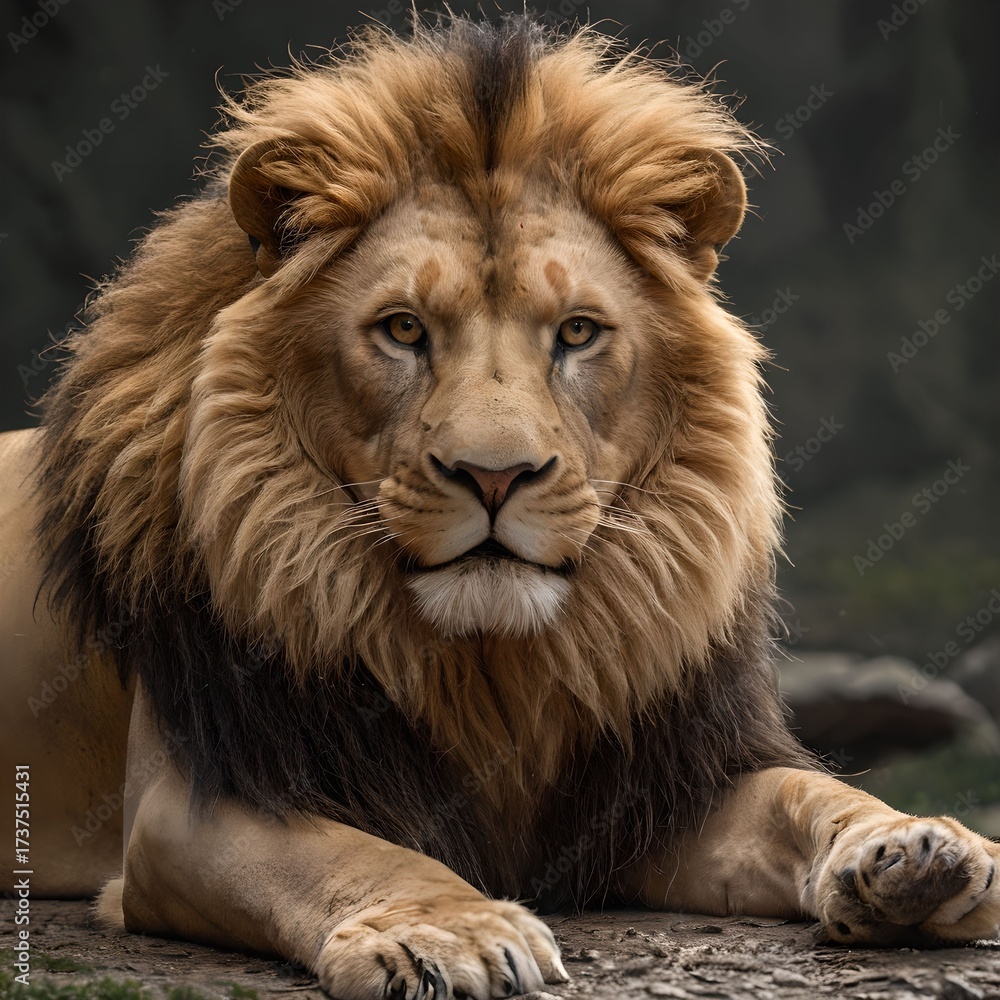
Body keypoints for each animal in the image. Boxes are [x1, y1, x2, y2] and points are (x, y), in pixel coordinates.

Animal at [1, 15, 997, 999]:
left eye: (578, 332)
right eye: (403, 329)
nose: (493, 476)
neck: (494, 670)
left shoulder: (657, 791)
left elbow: (808, 791)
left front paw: (916, 852)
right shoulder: (194, 799)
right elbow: (356, 855)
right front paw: (448, 933)